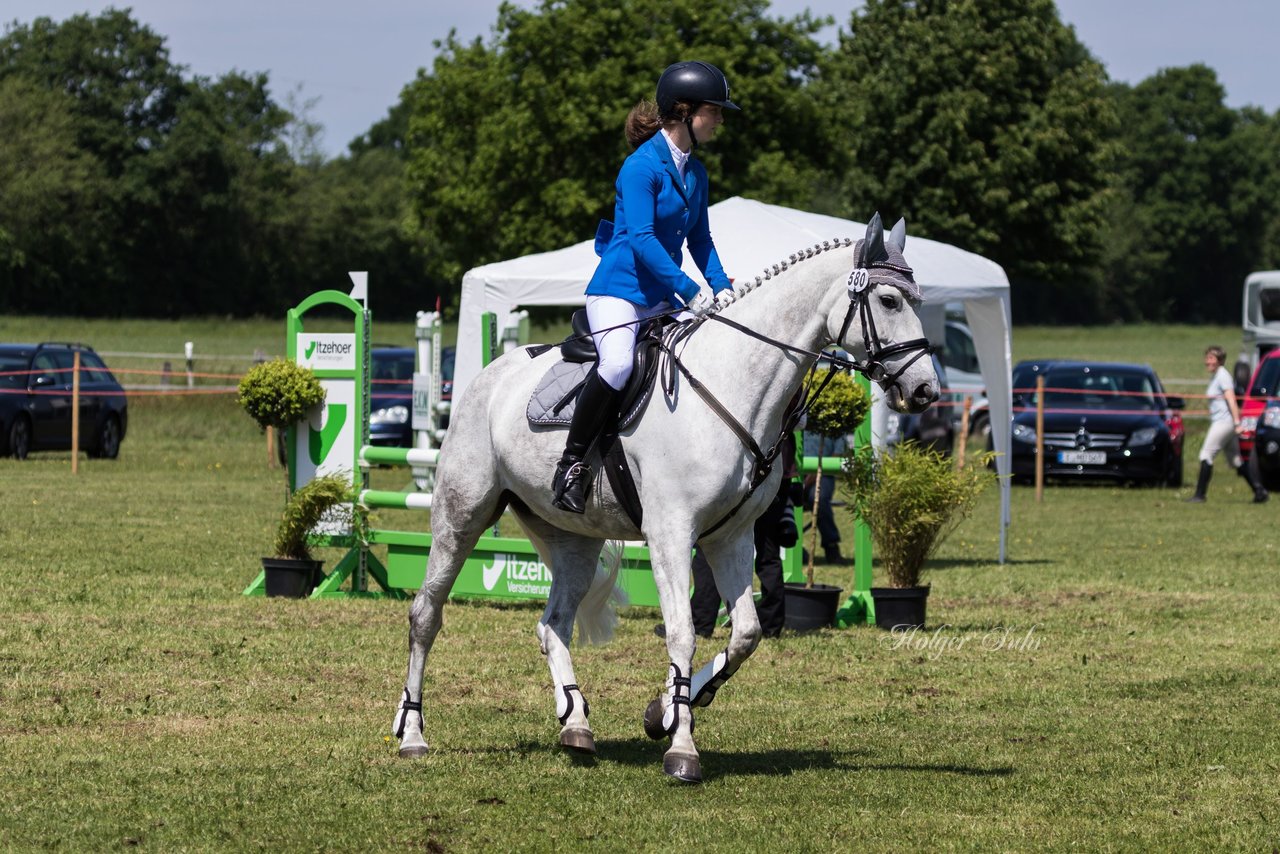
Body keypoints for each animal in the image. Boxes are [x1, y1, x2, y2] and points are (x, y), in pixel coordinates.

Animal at [391, 212, 942, 783]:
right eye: (889, 301)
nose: (925, 391)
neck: (735, 381)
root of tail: (489, 375)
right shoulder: (672, 534)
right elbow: (682, 632)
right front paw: (681, 749)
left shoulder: (731, 537)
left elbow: (746, 633)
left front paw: (664, 712)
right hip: (461, 516)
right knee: (426, 615)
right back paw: (412, 733)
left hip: (573, 539)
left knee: (553, 625)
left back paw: (575, 723)